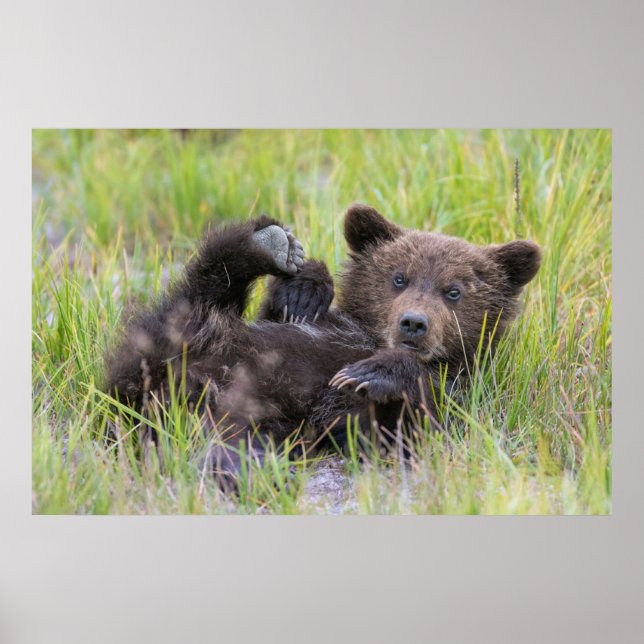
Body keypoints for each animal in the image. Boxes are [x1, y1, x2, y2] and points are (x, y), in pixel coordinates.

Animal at [105, 204, 541, 487]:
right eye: (399, 278)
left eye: (454, 291)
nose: (414, 323)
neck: (367, 336)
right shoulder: (309, 326)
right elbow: (285, 313)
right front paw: (305, 289)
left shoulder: (455, 392)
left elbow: (407, 424)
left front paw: (372, 372)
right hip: (181, 342)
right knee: (197, 294)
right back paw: (266, 243)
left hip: (251, 415)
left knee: (220, 438)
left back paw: (249, 468)